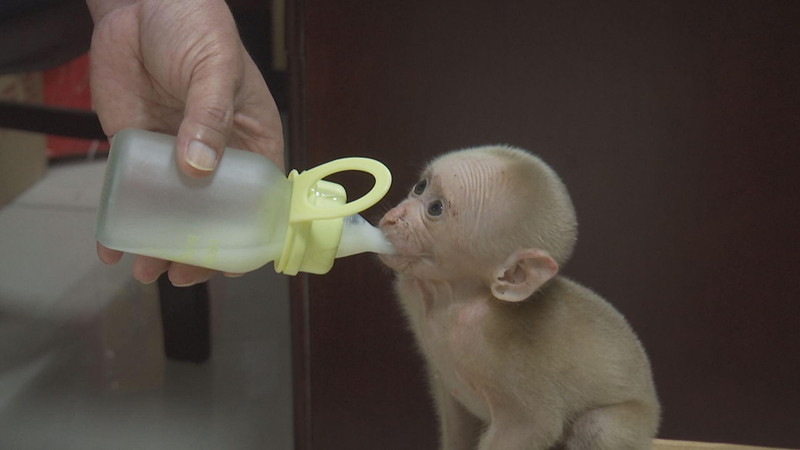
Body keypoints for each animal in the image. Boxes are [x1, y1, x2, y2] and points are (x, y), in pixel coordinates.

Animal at [378, 146, 660, 448]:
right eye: (420, 187)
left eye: (436, 209)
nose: (393, 217)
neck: (455, 300)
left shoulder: (507, 355)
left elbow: (533, 424)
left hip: (634, 424)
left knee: (598, 427)